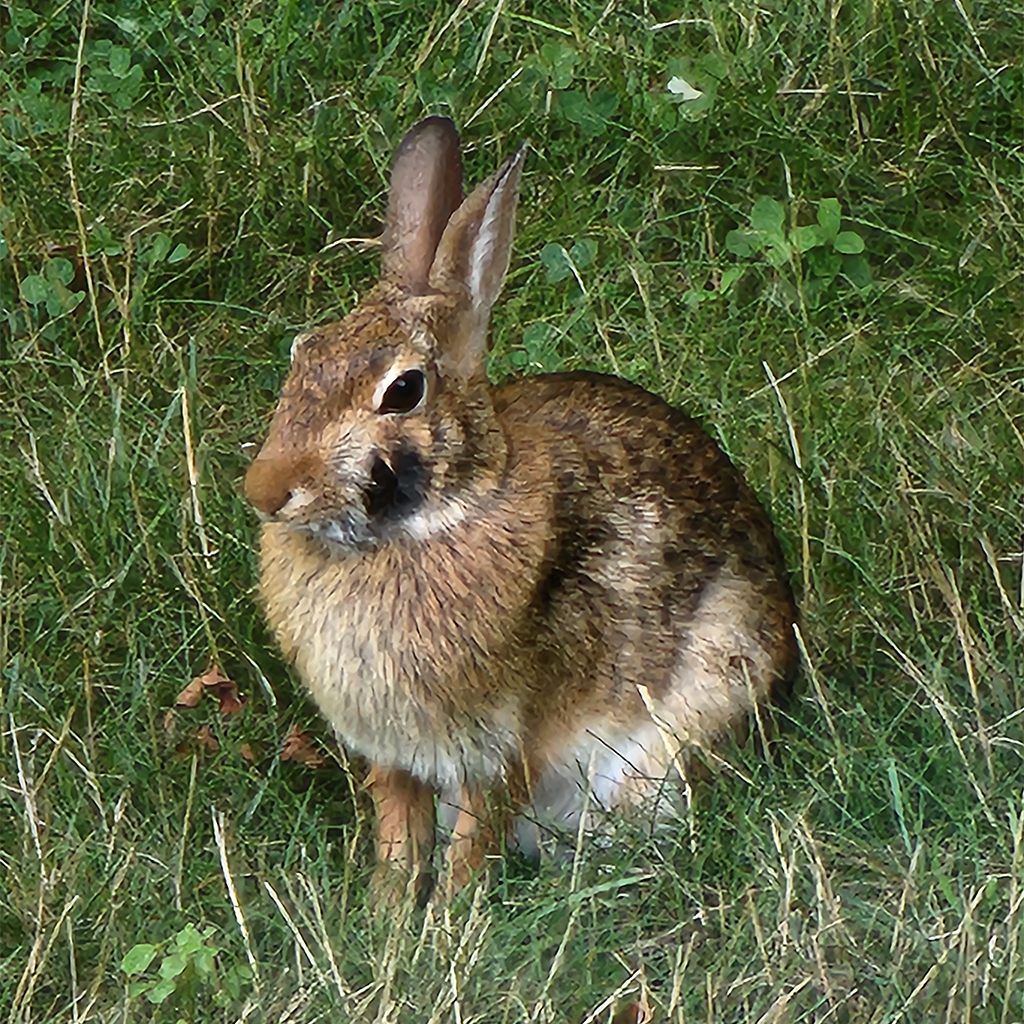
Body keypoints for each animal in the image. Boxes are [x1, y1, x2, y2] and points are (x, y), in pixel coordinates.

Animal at [245, 116, 798, 897]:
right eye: (303, 353)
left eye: (404, 390)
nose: (264, 491)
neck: (438, 518)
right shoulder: (396, 756)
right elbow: (398, 839)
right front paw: (387, 920)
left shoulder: (502, 742)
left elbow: (472, 841)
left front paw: (445, 922)